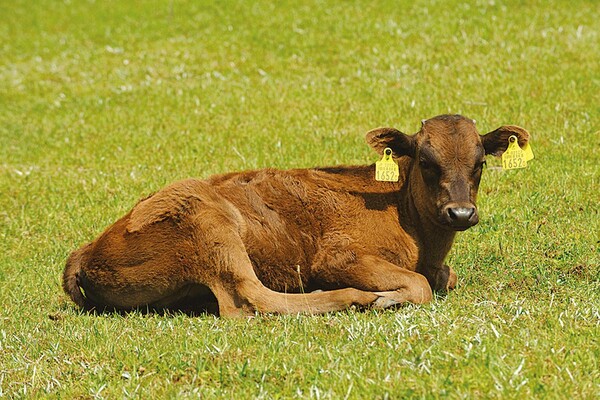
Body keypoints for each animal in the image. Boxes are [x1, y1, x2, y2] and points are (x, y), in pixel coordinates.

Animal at [62, 114, 528, 318]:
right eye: (427, 161)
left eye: (480, 164)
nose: (461, 212)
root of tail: (84, 252)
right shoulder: (338, 257)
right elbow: (419, 285)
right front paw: (385, 297)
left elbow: (446, 278)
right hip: (207, 222)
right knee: (248, 300)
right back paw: (355, 298)